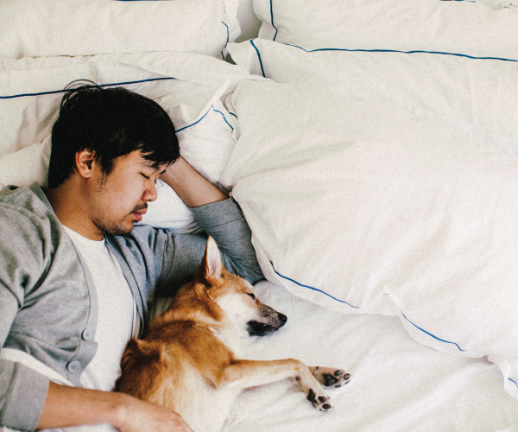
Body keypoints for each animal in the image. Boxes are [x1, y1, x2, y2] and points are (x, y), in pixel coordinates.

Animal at [116, 238, 352, 430]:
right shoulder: (227, 371)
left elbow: (289, 372)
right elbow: (293, 362)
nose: (285, 318)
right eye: (251, 295)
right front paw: (316, 389)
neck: (200, 321)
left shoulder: (232, 402)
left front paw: (324, 375)